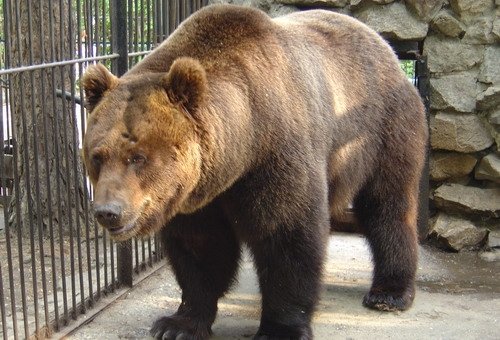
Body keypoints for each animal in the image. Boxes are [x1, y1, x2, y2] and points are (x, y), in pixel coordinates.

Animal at [81, 3, 426, 340]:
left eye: (138, 157)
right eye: (97, 156)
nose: (108, 211)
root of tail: (385, 47)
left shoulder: (274, 154)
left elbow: (287, 234)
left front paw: (280, 329)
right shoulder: (195, 194)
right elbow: (200, 247)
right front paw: (178, 324)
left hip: (384, 130)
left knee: (388, 205)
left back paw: (390, 292)